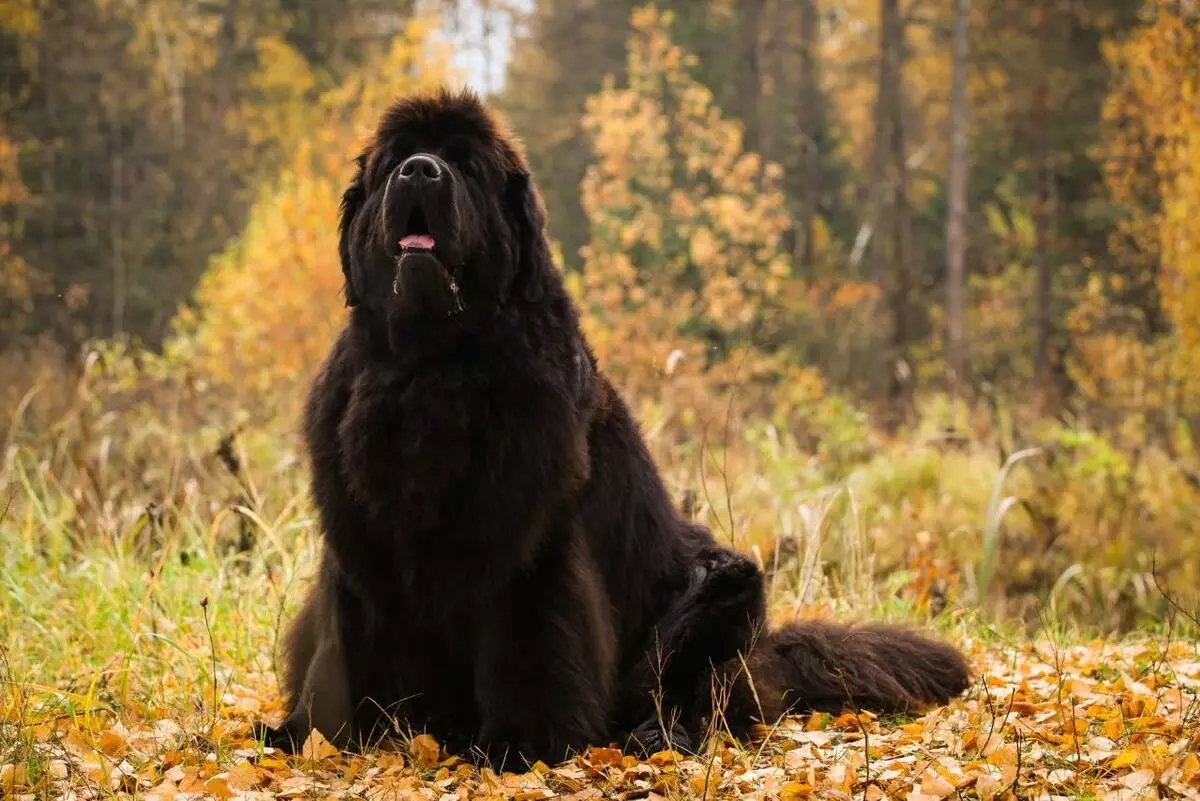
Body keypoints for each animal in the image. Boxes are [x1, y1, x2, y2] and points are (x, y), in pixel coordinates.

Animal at [258, 86, 969, 762]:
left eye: (464, 164)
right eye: (395, 160)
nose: (420, 170)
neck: (432, 366)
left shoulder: (532, 546)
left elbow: (530, 645)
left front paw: (522, 746)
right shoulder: (359, 540)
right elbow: (341, 645)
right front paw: (313, 735)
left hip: (724, 590)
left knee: (700, 699)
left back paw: (657, 735)